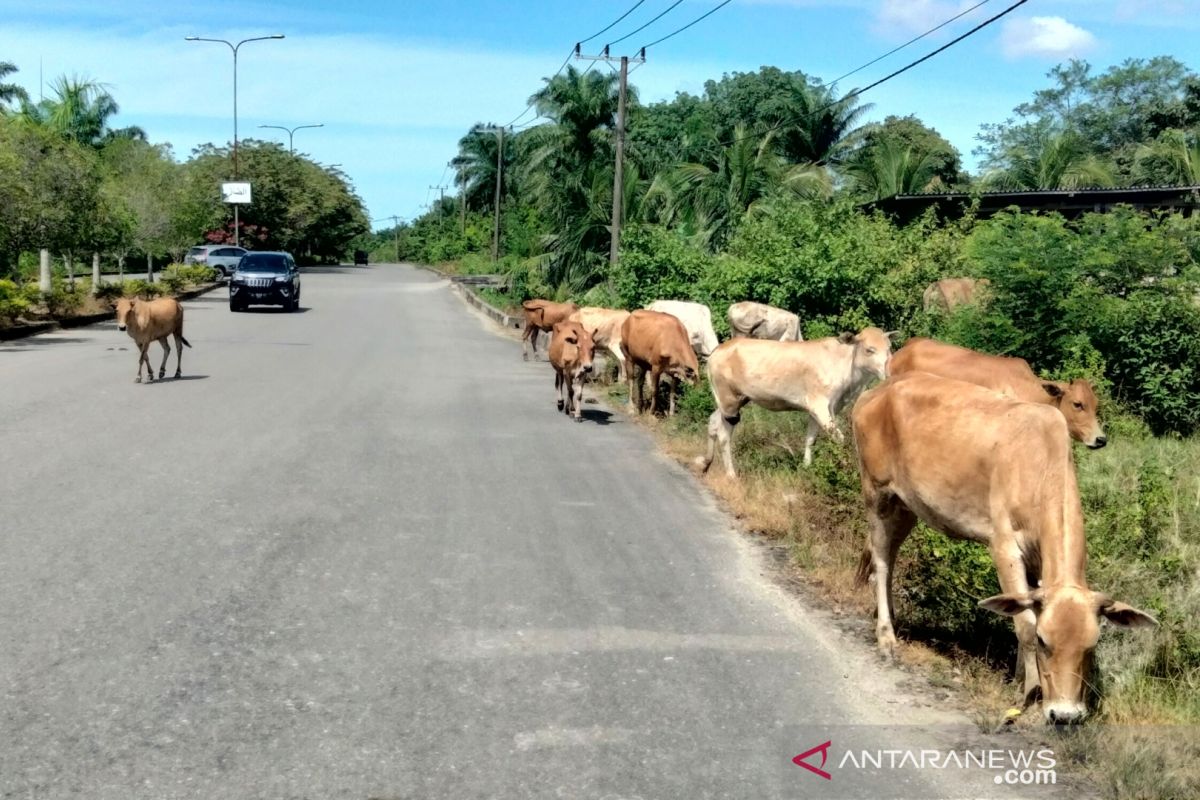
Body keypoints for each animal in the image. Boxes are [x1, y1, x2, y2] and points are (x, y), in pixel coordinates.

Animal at [691, 328, 897, 479]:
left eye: (888, 348)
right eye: (869, 349)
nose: (887, 371)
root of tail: (718, 351)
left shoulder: (824, 409)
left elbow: (811, 438)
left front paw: (806, 467)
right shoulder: (819, 405)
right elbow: (839, 437)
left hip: (732, 401)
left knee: (713, 422)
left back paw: (705, 463)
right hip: (729, 400)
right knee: (724, 435)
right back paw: (731, 475)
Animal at [854, 371, 1152, 724]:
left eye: (1091, 646)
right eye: (1044, 642)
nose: (1065, 715)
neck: (1040, 466)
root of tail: (879, 389)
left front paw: (1022, 678)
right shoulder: (1004, 547)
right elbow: (1024, 622)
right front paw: (1030, 690)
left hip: (907, 506)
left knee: (889, 556)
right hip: (876, 494)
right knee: (881, 561)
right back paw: (886, 634)